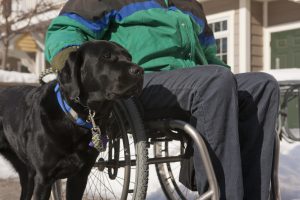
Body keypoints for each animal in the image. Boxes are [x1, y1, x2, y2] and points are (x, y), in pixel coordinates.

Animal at [0, 40, 144, 200]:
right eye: (106, 56)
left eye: (129, 57)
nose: (139, 70)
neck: (76, 118)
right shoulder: (44, 178)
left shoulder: (80, 176)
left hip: (26, 171)